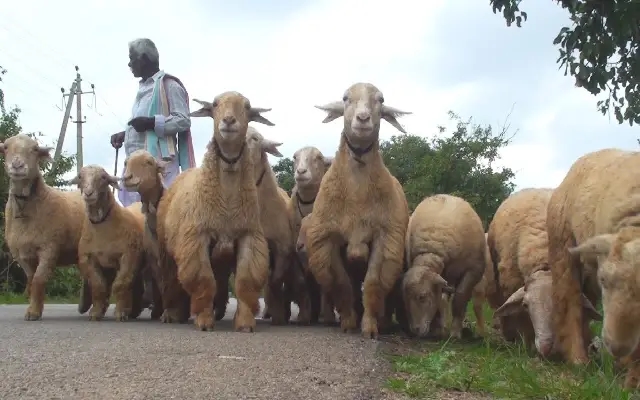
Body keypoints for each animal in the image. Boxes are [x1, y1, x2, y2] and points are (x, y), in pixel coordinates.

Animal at [0, 134, 86, 320]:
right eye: (6, 147)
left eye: (34, 149)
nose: (17, 165)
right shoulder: (20, 254)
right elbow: (32, 280)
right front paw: (34, 309)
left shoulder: (50, 248)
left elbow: (39, 279)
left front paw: (33, 312)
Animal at [70, 165, 145, 321]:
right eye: (80, 177)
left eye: (103, 178)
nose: (88, 193)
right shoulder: (89, 259)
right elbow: (98, 286)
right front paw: (96, 313)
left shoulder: (128, 256)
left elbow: (120, 284)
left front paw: (120, 313)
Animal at [155, 91, 274, 332]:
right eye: (215, 104)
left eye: (247, 107)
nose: (228, 120)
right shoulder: (196, 238)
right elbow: (203, 279)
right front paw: (203, 321)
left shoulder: (248, 235)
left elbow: (244, 279)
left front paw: (244, 323)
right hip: (166, 249)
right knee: (171, 280)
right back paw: (172, 313)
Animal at [306, 82, 411, 338]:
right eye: (345, 98)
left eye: (381, 100)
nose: (363, 119)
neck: (357, 194)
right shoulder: (329, 239)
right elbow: (342, 283)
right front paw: (347, 322)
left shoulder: (384, 237)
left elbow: (373, 283)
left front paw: (370, 327)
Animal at [402, 194, 486, 339]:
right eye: (404, 298)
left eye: (422, 297)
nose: (415, 330)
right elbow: (440, 301)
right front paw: (437, 329)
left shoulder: (473, 271)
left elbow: (459, 298)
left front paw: (455, 333)